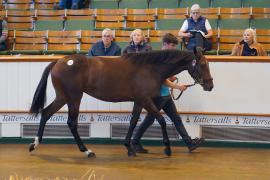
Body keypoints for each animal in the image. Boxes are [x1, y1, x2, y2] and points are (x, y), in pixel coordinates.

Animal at [28, 47, 213, 158]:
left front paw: (129, 147)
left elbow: (133, 122)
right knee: (71, 123)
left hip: (63, 97)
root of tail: (59, 61)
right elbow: (161, 120)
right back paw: (87, 151)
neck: (149, 68)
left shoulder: (139, 101)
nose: (210, 85)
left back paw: (34, 144)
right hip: (74, 97)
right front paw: (167, 149)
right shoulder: (145, 99)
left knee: (46, 113)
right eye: (203, 64)